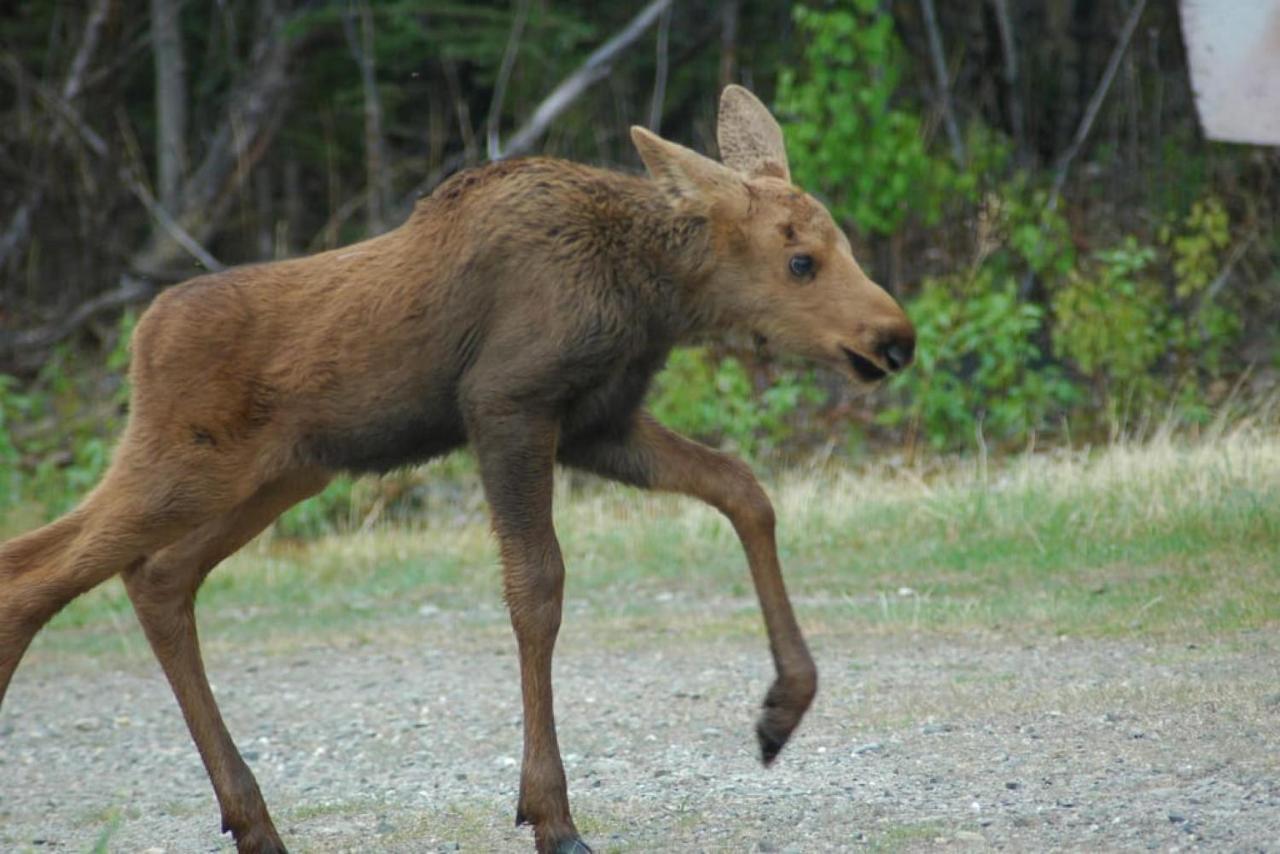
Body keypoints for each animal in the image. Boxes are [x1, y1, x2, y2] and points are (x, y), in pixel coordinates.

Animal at [2, 88, 921, 854]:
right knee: (37, 573)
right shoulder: (506, 405)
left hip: (280, 476)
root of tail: (141, 338)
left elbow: (745, 489)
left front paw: (782, 709)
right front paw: (552, 816)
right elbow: (537, 587)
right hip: (182, 464)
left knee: (158, 577)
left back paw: (253, 819)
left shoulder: (599, 423)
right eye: (800, 262)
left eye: (837, 245)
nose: (895, 338)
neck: (649, 295)